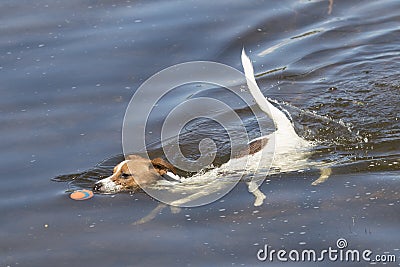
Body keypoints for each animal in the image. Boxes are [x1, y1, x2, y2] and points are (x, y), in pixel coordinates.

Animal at [93, 50, 332, 209]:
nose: (96, 186)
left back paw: (321, 177)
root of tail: (282, 131)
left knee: (322, 166)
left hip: (294, 162)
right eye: (112, 171)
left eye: (125, 175)